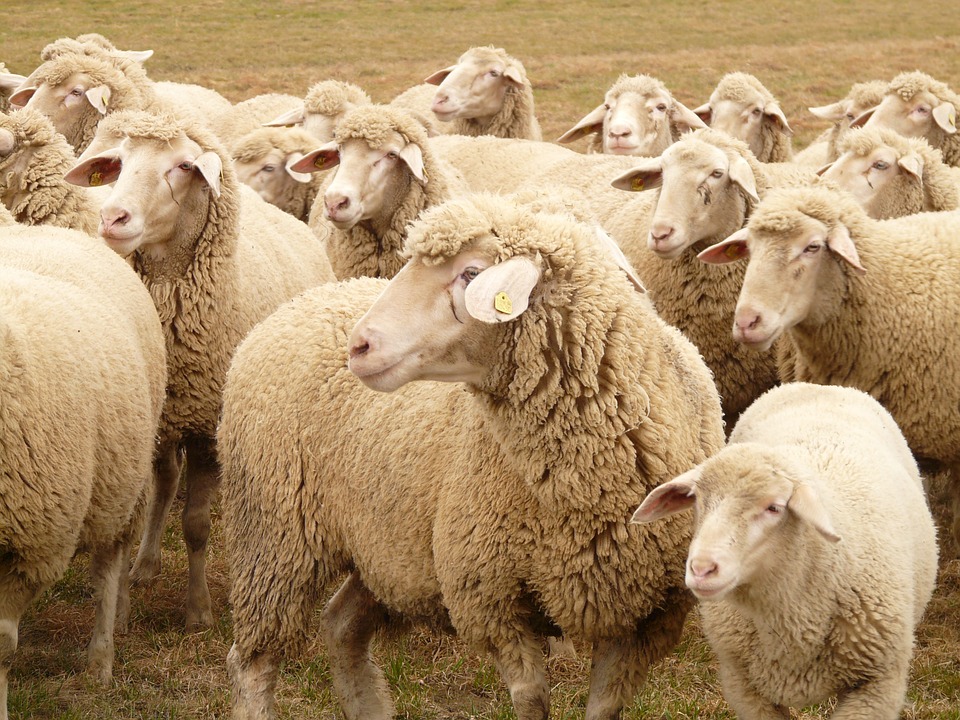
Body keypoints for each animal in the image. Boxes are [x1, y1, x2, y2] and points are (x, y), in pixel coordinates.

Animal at [0, 222, 166, 719]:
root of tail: (47, 228)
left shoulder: (30, 550)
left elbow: (1, 646)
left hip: (123, 486)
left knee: (108, 571)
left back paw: (100, 662)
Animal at [64, 109, 335, 628]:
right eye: (119, 163)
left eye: (184, 167)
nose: (112, 218)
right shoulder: (149, 423)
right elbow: (141, 511)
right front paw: (120, 609)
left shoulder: (209, 427)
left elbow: (196, 524)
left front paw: (199, 611)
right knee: (166, 483)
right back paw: (146, 564)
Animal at [221, 192, 725, 720]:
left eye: (470, 273)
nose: (358, 346)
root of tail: (299, 304)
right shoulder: (491, 598)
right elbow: (531, 700)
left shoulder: (646, 617)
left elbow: (603, 708)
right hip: (274, 538)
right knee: (253, 661)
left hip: (385, 548)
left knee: (341, 627)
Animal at [633, 382, 938, 719]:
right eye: (698, 500)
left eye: (774, 508)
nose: (701, 570)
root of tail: (820, 386)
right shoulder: (744, 686)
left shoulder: (877, 687)